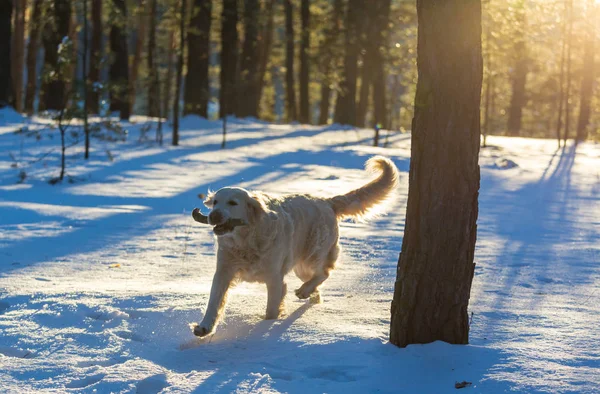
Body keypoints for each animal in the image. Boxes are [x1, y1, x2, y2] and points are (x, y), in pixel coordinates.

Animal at [192, 155, 398, 338]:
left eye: (233, 203)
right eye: (215, 202)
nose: (214, 216)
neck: (246, 240)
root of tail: (326, 202)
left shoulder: (274, 278)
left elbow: (271, 310)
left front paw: (265, 327)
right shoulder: (224, 271)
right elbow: (214, 301)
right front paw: (204, 327)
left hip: (313, 254)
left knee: (324, 273)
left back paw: (305, 291)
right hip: (301, 266)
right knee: (318, 284)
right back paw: (311, 294)